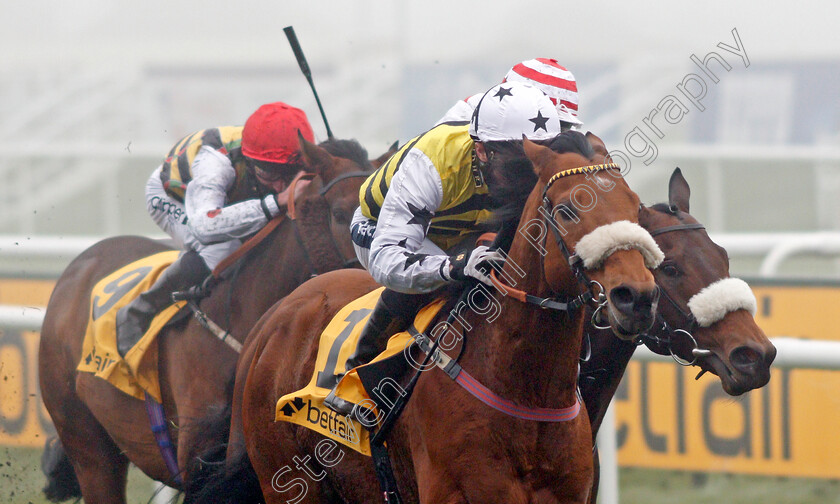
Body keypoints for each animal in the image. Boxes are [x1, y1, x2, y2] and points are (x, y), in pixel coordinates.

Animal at [236, 135, 664, 504]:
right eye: (567, 209)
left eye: (636, 208)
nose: (636, 297)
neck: (526, 391)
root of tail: (271, 319)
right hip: (290, 482)